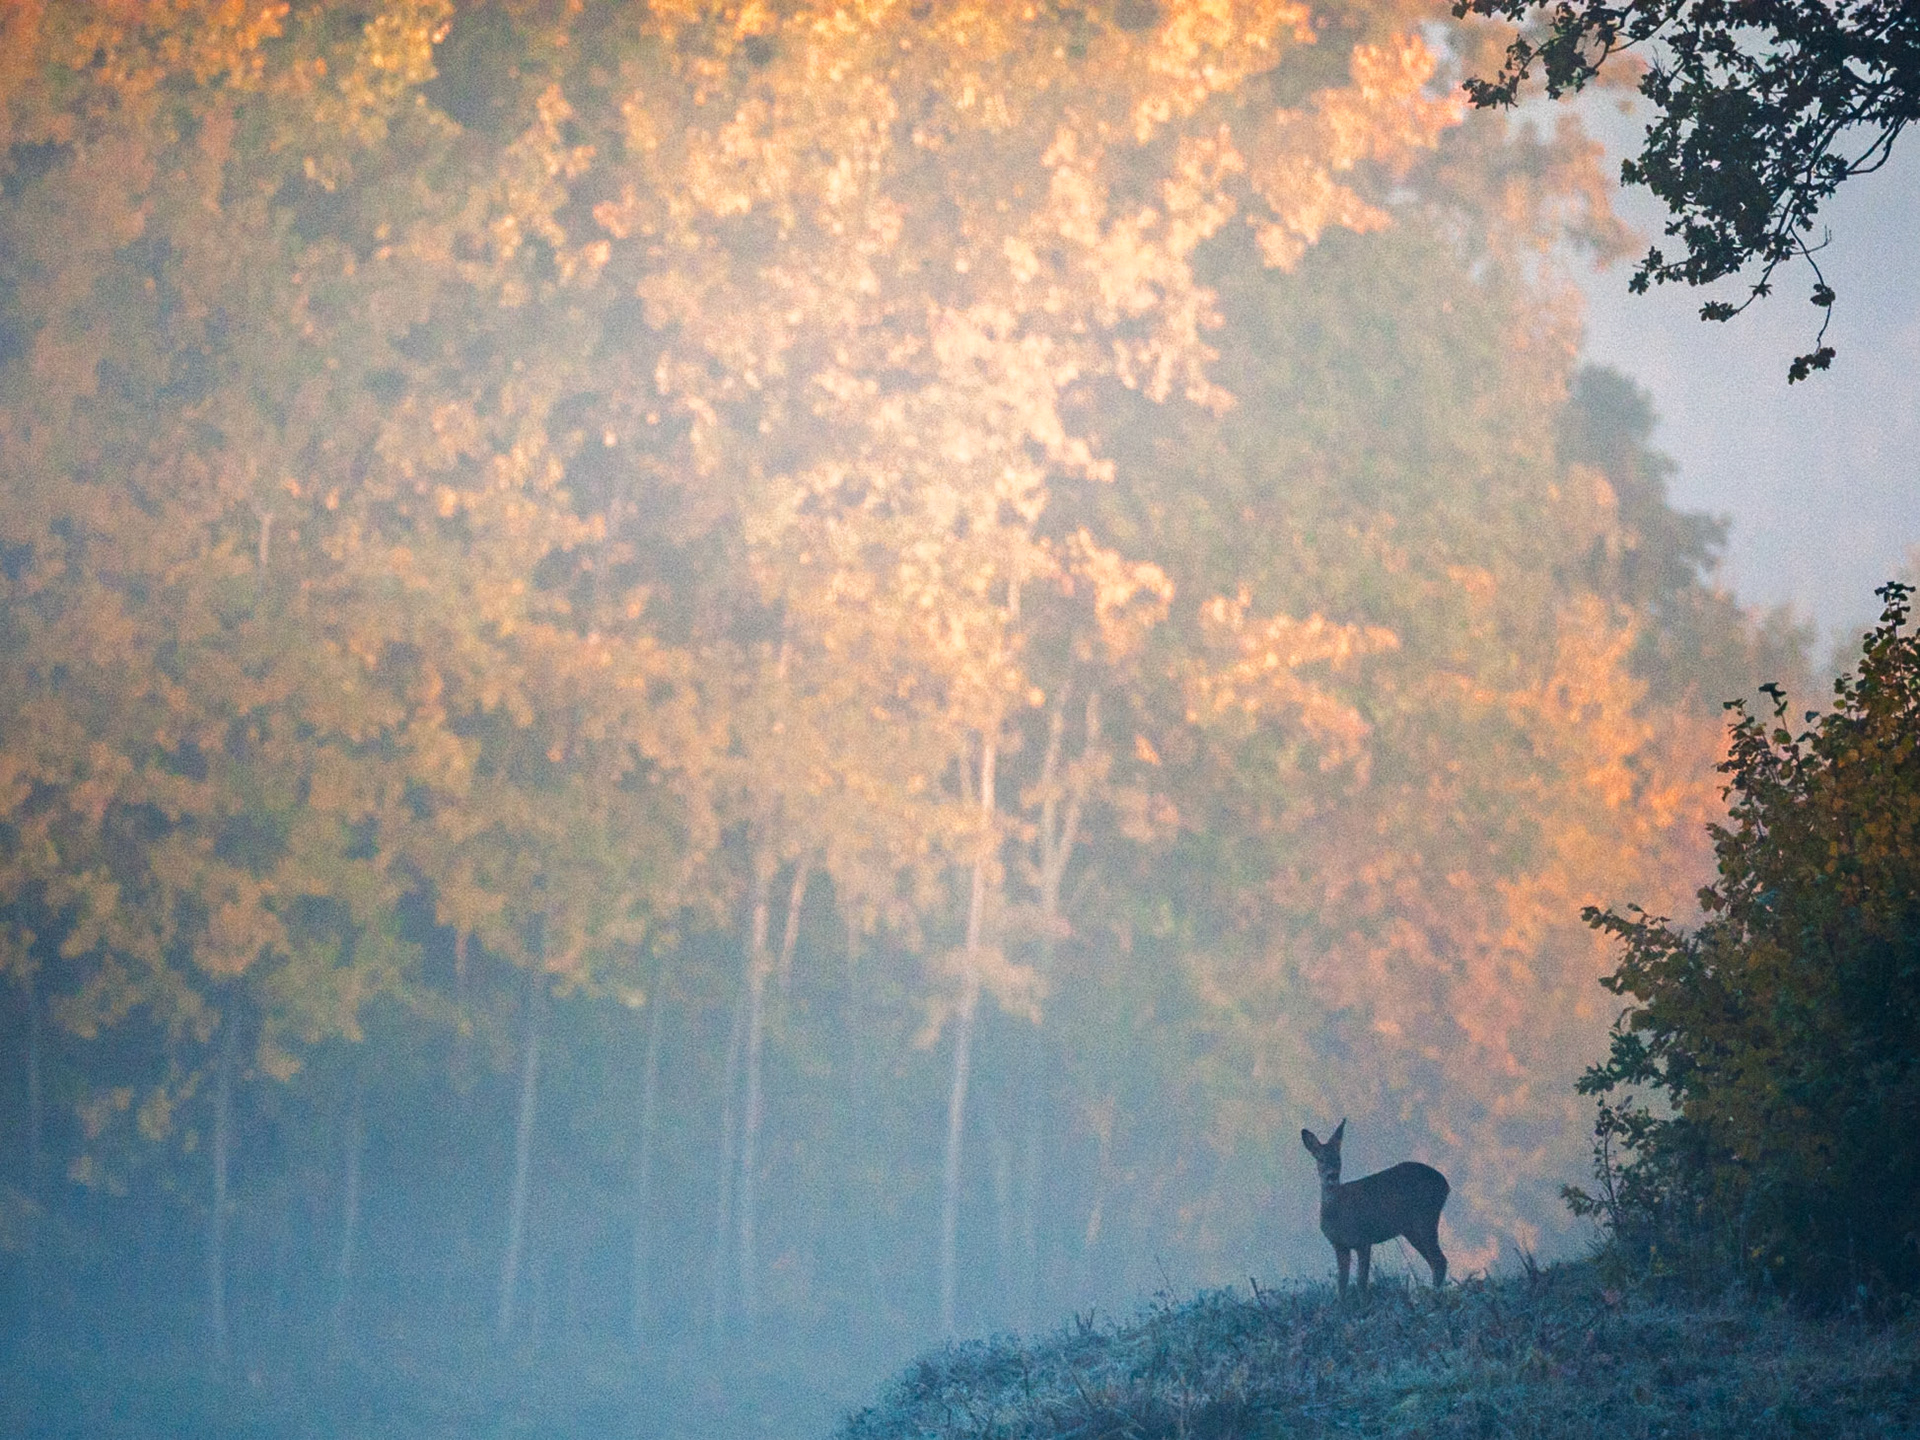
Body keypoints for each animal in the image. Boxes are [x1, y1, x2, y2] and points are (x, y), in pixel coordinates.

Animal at [1300, 1119, 1449, 1298]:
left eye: (1338, 1158)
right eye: (1320, 1159)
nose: (1332, 1175)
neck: (1338, 1212)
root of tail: (1445, 1184)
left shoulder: (1363, 1238)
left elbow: (1361, 1282)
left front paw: (1363, 1303)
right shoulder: (1339, 1245)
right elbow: (1341, 1285)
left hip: (1425, 1217)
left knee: (1439, 1260)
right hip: (1411, 1229)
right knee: (1435, 1261)